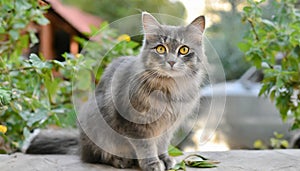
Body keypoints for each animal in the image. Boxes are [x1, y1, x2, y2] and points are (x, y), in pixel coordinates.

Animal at [24, 12, 205, 171]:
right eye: (161, 49)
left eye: (184, 50)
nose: (171, 62)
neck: (168, 89)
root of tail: (81, 145)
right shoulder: (135, 125)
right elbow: (146, 147)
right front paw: (152, 163)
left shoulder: (169, 125)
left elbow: (161, 145)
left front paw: (165, 159)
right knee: (98, 156)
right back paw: (121, 161)